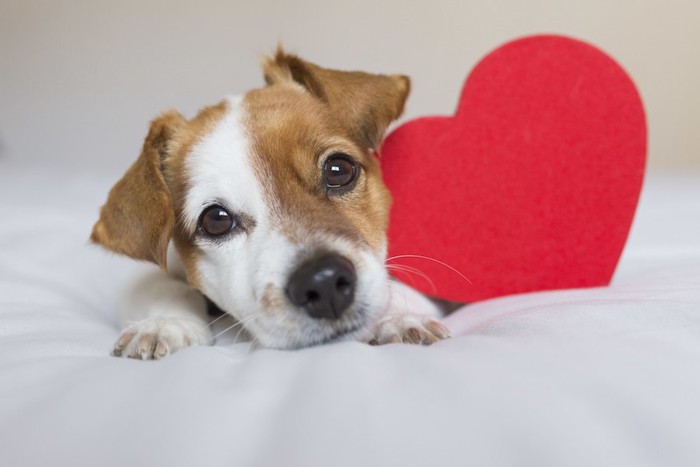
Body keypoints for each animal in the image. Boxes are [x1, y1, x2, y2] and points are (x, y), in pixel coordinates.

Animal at [90, 49, 452, 360]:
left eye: (339, 170)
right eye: (216, 220)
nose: (323, 282)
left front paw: (398, 318)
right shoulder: (144, 277)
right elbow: (161, 285)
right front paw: (166, 324)